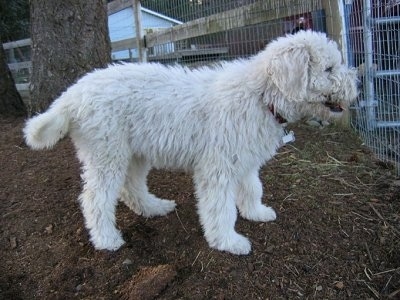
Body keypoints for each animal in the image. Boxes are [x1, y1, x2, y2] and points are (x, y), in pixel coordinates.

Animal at [24, 31, 356, 254]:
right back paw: (107, 239)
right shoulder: (217, 168)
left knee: (131, 188)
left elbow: (252, 188)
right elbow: (220, 207)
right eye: (329, 69)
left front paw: (256, 212)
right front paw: (228, 241)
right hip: (106, 153)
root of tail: (74, 93)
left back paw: (155, 207)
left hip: (135, 153)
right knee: (96, 198)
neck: (260, 95)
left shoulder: (245, 160)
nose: (357, 85)